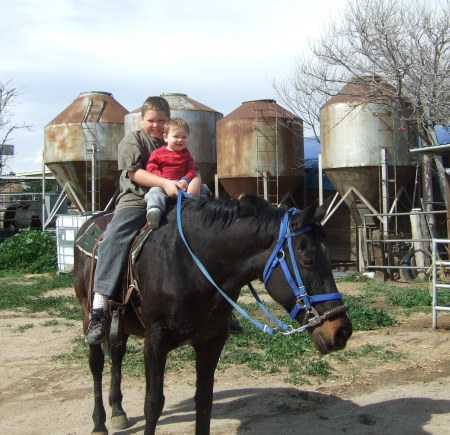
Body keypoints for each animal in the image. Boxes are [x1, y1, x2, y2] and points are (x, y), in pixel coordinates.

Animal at [73, 195, 352, 435]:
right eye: (307, 260)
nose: (341, 331)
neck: (192, 265)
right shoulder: (155, 341)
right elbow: (153, 403)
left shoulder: (212, 340)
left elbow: (204, 400)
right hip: (89, 316)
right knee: (97, 364)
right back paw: (99, 423)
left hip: (121, 322)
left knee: (117, 353)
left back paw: (118, 411)